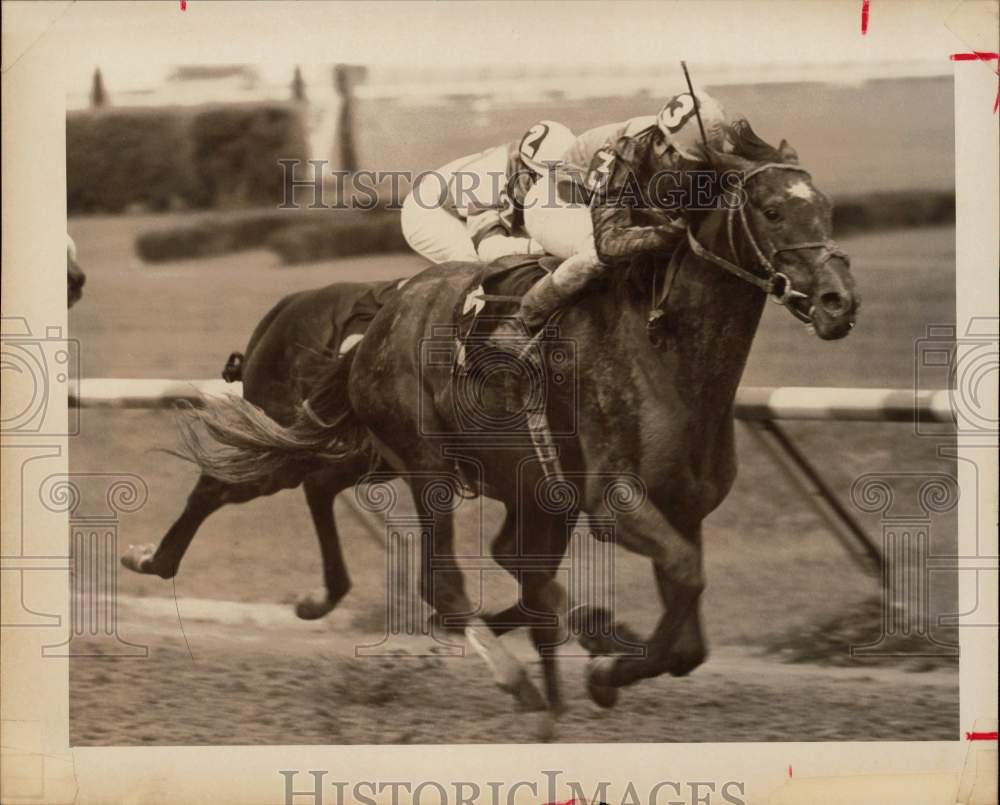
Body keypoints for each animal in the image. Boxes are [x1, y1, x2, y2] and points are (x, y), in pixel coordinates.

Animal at [150, 127, 868, 724]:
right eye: (772, 211)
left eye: (826, 207)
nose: (839, 302)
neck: (666, 346)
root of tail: (377, 321)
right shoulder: (614, 501)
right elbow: (681, 584)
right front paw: (603, 664)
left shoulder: (679, 508)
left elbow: (688, 633)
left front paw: (610, 659)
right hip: (415, 457)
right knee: (413, 565)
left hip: (428, 465)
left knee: (340, 498)